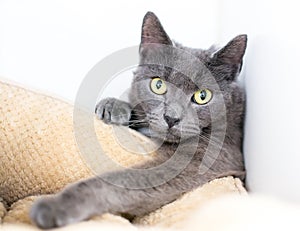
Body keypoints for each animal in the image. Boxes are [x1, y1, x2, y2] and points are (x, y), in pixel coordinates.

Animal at [29, 11, 246, 228]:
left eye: (203, 96)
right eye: (158, 85)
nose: (171, 118)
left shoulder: (204, 159)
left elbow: (122, 182)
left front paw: (54, 206)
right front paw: (113, 106)